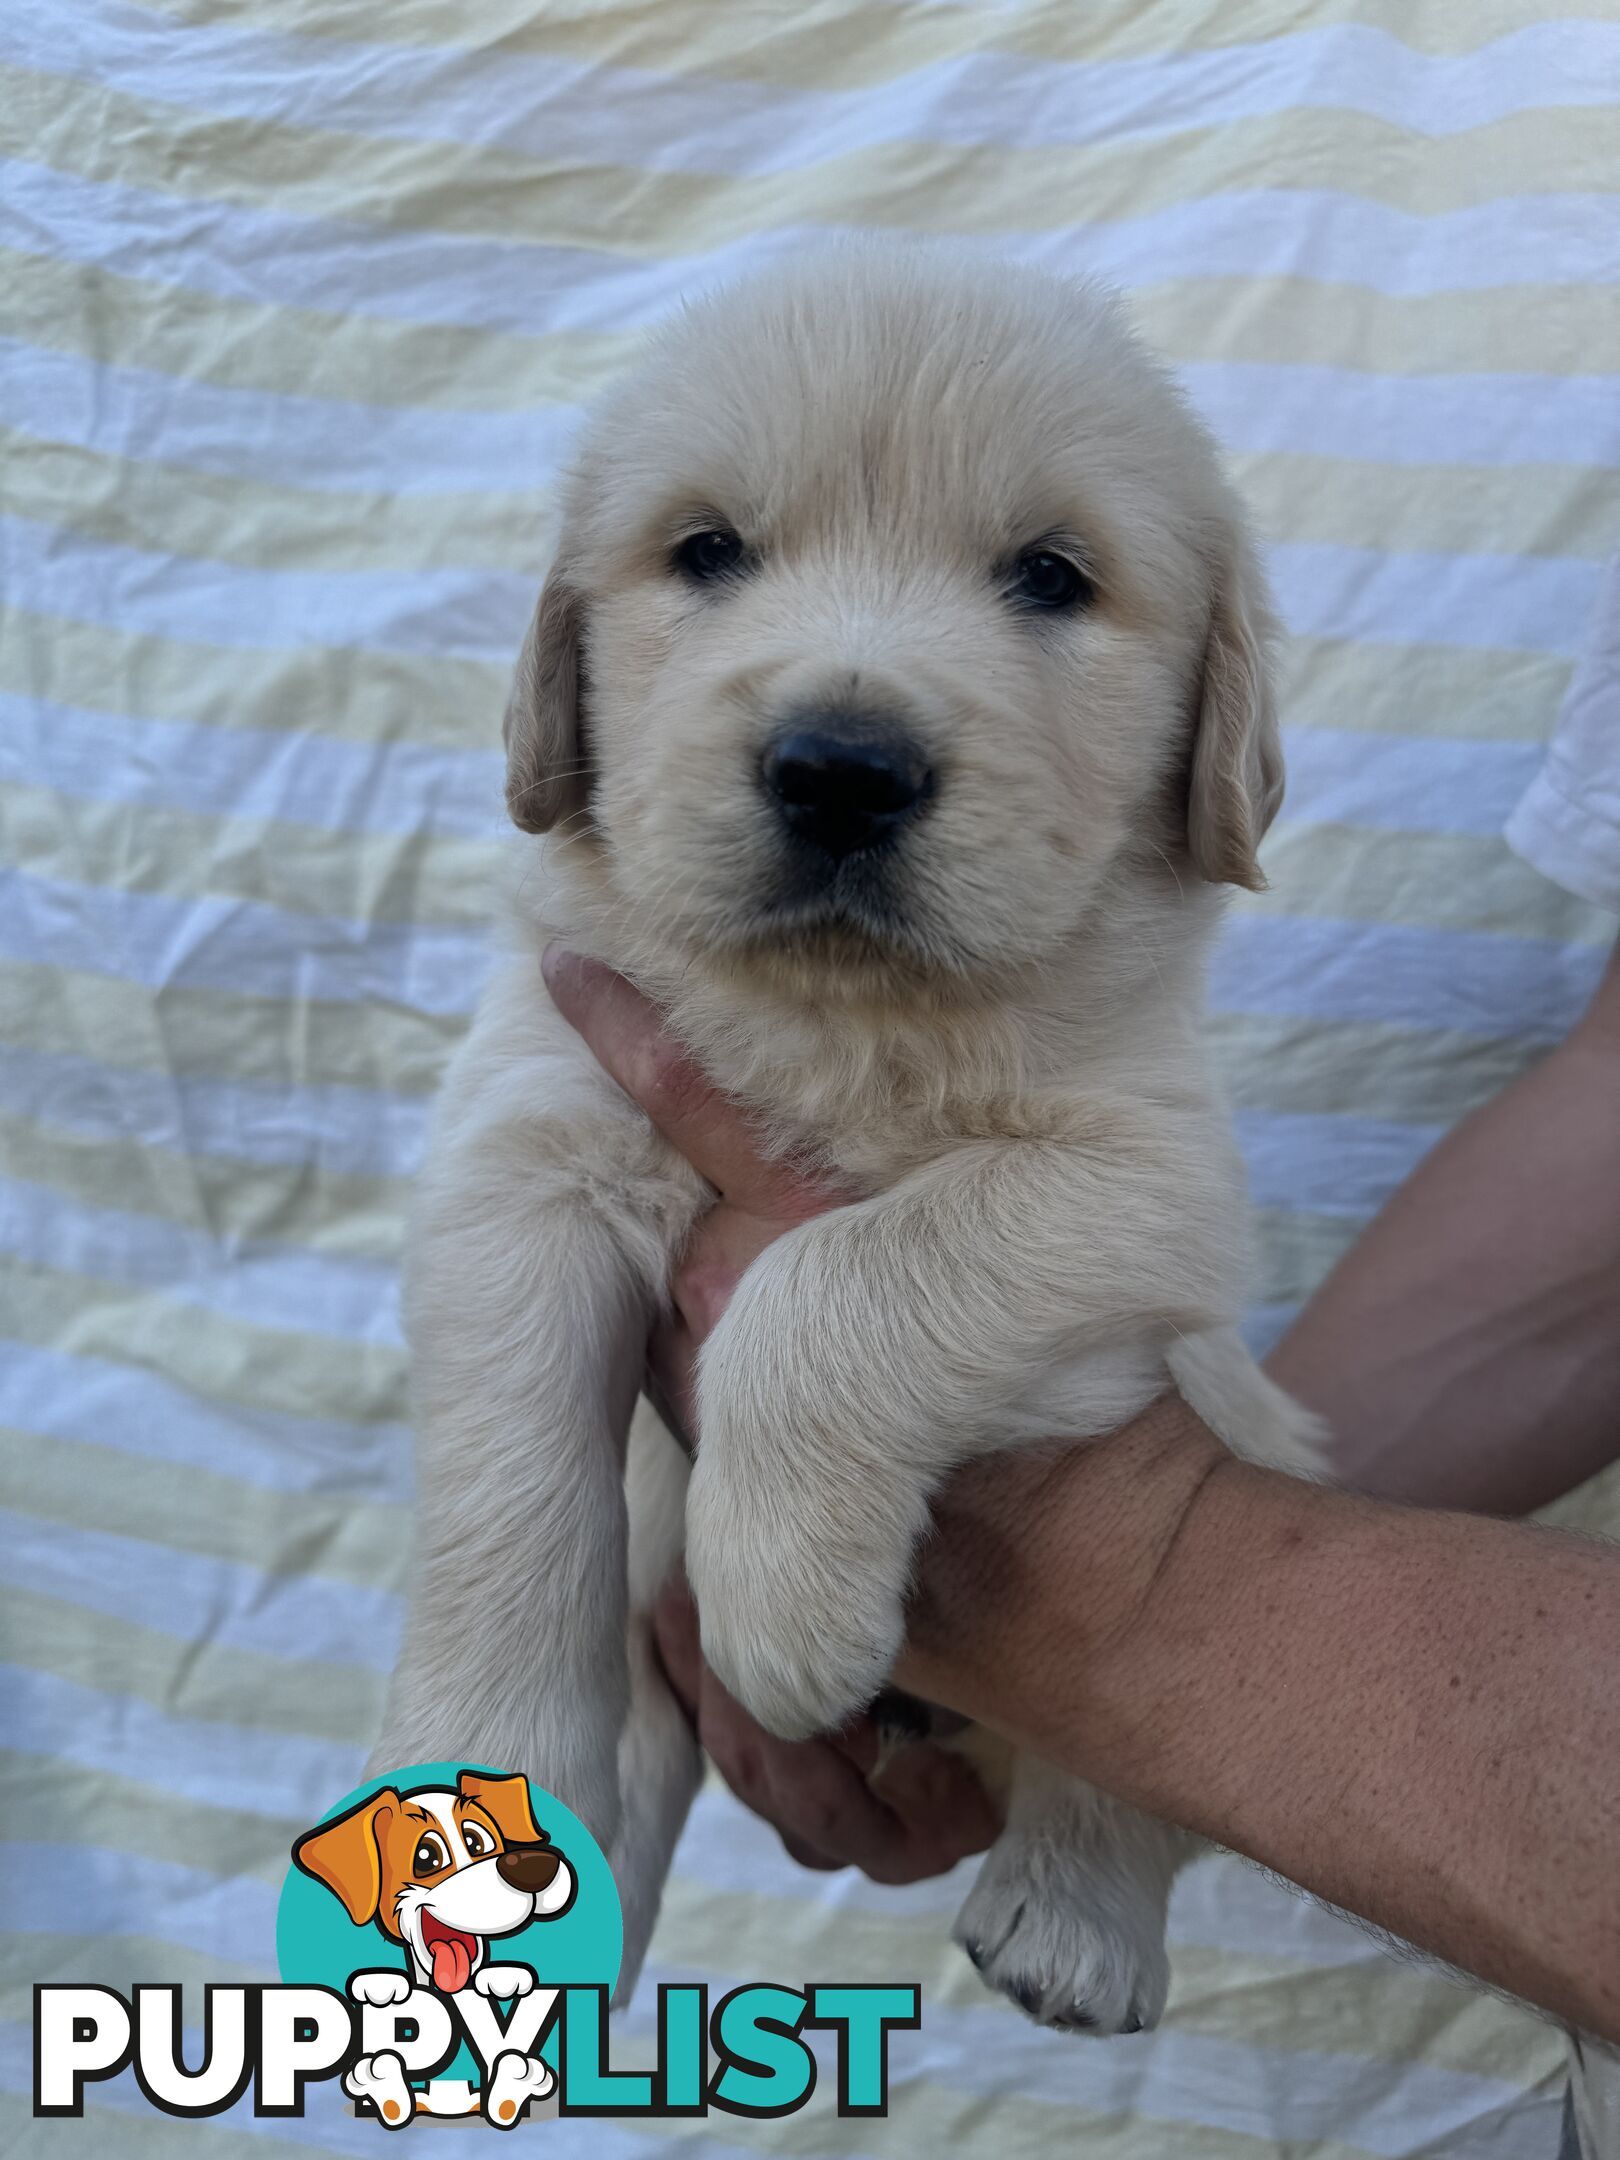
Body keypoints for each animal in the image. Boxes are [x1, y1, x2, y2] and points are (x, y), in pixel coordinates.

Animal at [373, 245, 1321, 2030]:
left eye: (1051, 578)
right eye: (706, 552)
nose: (840, 769)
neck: (843, 1019)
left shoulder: (1156, 1188)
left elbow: (846, 1275)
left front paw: (782, 1588)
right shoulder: (529, 1146)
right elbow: (508, 1464)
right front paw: (475, 1762)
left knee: (1128, 1790)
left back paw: (1074, 1922)